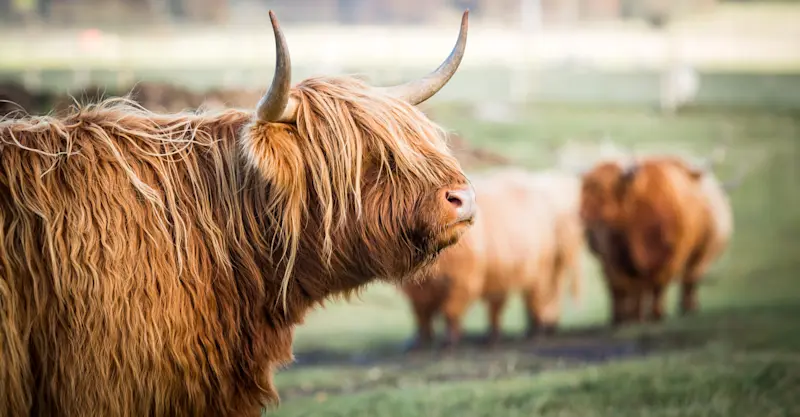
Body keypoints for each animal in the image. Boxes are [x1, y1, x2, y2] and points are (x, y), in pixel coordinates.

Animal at [401, 168, 585, 350]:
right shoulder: (416, 290)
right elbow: (422, 314)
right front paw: (420, 341)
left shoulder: (462, 282)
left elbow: (450, 312)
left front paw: (449, 341)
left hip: (537, 273)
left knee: (536, 298)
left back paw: (534, 331)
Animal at [579, 155, 733, 326]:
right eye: (584, 189)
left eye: (603, 191)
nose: (583, 215)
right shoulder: (621, 262)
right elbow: (632, 288)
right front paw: (635, 317)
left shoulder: (669, 257)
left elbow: (657, 285)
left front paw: (657, 314)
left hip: (699, 254)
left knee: (689, 279)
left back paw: (688, 308)